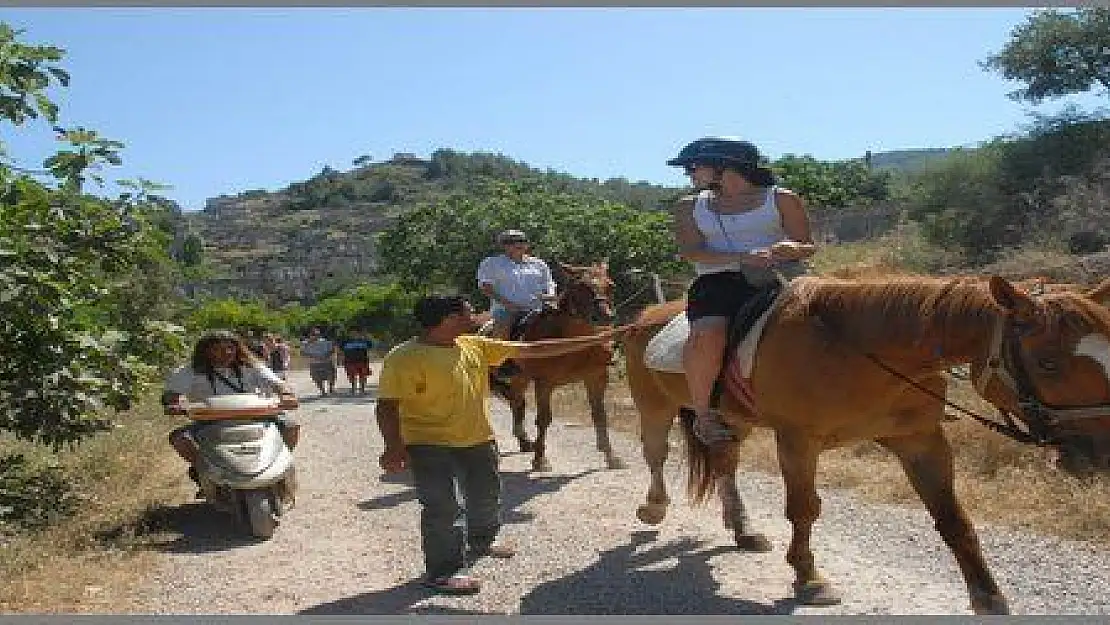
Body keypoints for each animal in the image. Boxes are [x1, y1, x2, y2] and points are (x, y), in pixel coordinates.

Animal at [499, 261, 630, 472]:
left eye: (611, 285)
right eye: (580, 287)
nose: (603, 316)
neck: (573, 344)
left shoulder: (596, 377)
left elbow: (600, 415)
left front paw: (612, 457)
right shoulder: (544, 383)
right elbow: (543, 419)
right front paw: (540, 460)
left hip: (520, 378)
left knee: (516, 402)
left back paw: (524, 442)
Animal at [630, 275, 1110, 617]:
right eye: (1048, 363)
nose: (1101, 450)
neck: (858, 349)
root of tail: (646, 315)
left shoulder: (920, 441)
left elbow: (953, 519)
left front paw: (988, 595)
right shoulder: (798, 440)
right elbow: (803, 510)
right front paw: (809, 578)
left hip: (732, 421)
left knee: (725, 463)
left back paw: (744, 530)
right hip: (653, 405)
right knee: (655, 453)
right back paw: (653, 506)